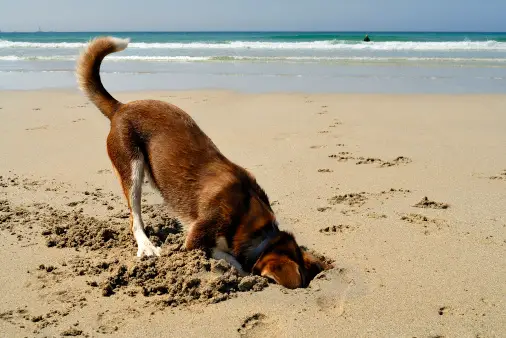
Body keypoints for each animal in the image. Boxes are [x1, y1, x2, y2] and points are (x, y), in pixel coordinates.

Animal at [75, 37, 328, 290]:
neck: (252, 222)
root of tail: (121, 107)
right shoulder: (196, 240)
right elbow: (229, 257)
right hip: (132, 168)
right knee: (134, 217)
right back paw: (147, 246)